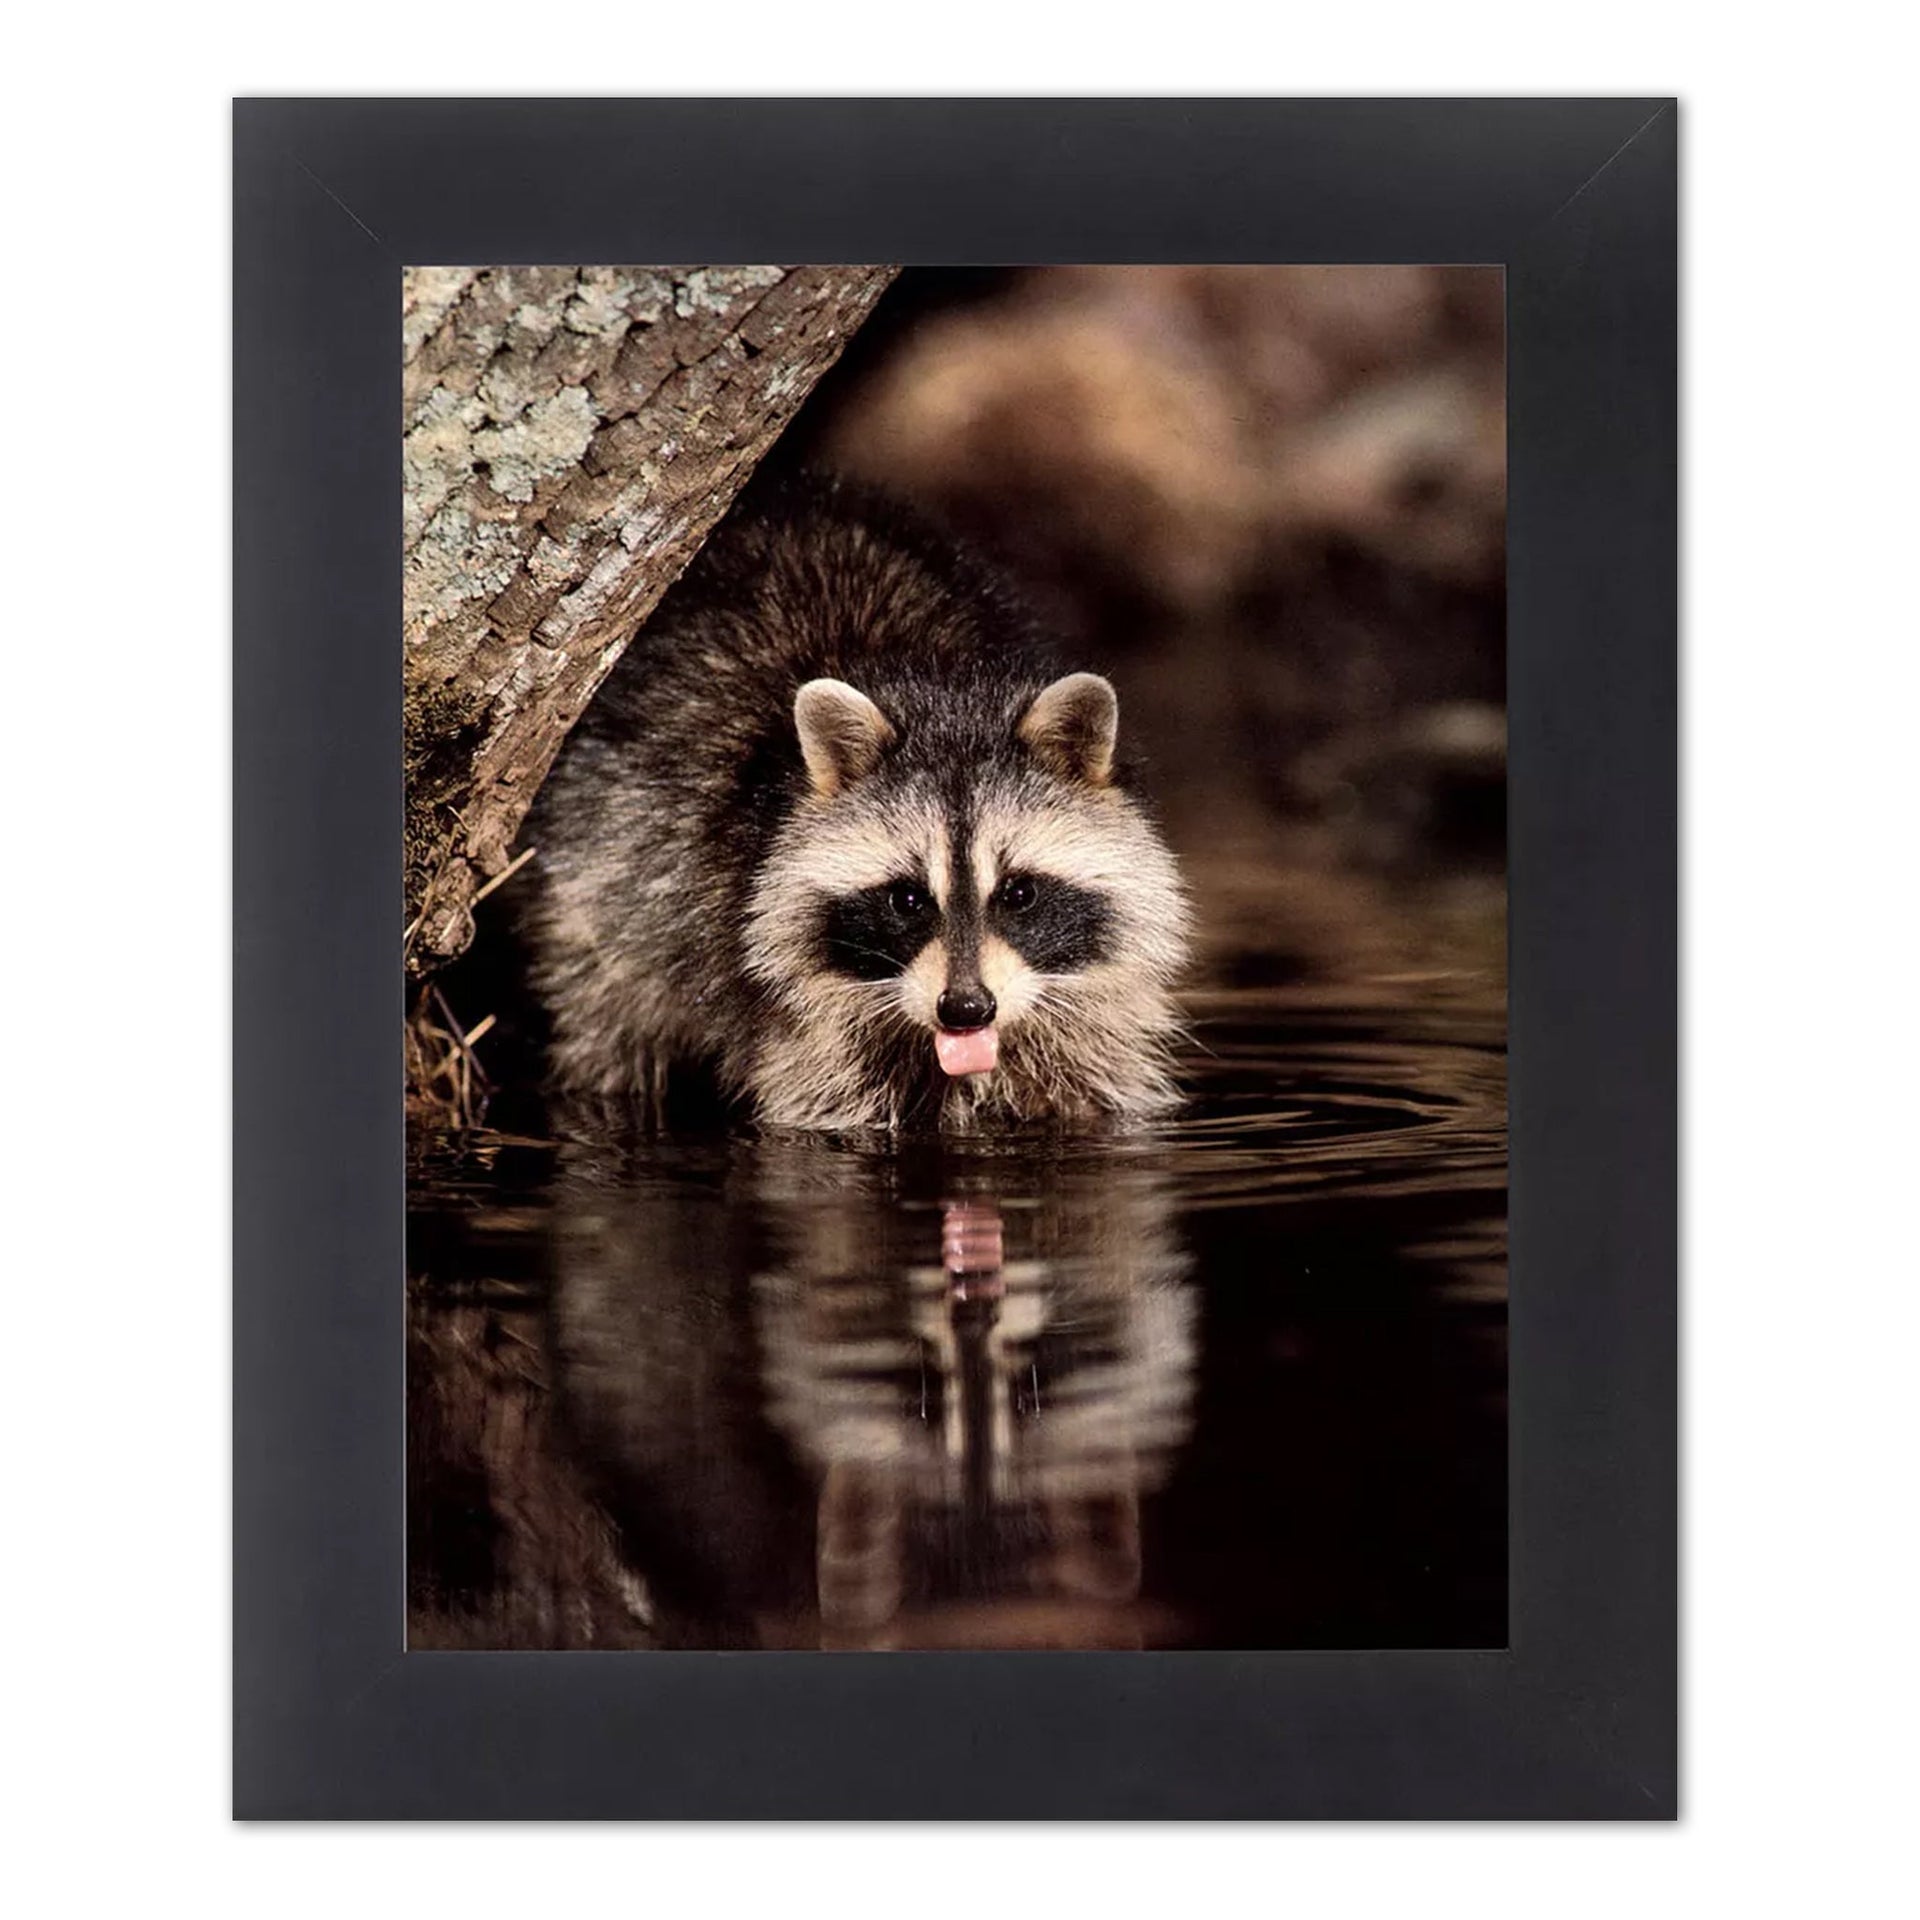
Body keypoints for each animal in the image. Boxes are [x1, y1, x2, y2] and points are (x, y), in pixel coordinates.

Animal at [521, 478, 1190, 1130]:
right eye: (907, 899)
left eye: (1020, 893)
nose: (965, 1009)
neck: (944, 690)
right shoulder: (792, 1018)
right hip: (600, 877)